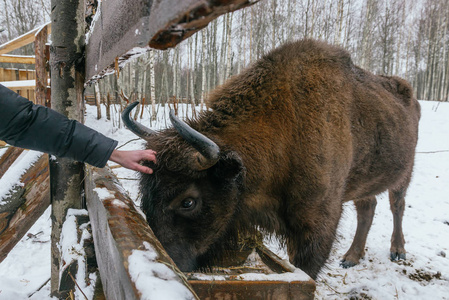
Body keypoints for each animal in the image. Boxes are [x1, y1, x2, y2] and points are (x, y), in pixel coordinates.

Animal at [121, 38, 420, 280]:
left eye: (188, 201)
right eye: (144, 193)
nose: (168, 261)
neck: (286, 124)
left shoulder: (316, 226)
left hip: (404, 174)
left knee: (396, 206)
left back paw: (398, 251)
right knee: (367, 208)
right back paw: (350, 258)